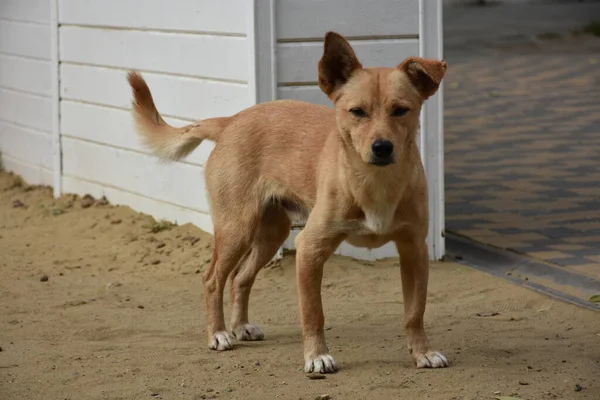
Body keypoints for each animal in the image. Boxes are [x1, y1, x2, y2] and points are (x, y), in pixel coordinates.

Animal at [126, 32, 448, 376]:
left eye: (401, 110)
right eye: (357, 111)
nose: (382, 148)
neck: (374, 183)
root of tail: (232, 120)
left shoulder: (414, 250)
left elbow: (415, 312)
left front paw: (423, 353)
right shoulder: (310, 248)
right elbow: (313, 312)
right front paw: (317, 356)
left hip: (272, 232)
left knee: (240, 278)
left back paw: (241, 326)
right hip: (237, 229)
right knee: (213, 279)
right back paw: (218, 333)